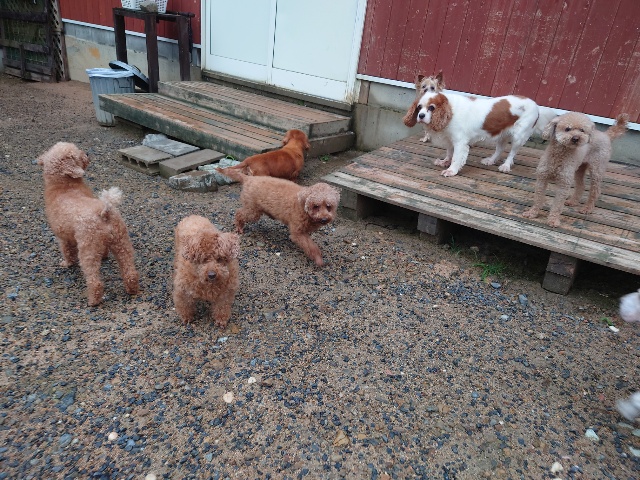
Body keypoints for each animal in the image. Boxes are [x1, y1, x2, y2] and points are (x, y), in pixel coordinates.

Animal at [38, 142, 139, 306]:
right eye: (77, 155)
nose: (86, 153)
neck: (64, 187)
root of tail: (104, 212)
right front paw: (104, 257)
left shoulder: (63, 237)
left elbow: (67, 252)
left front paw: (66, 263)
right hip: (122, 241)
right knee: (130, 271)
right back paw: (132, 289)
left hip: (88, 249)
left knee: (94, 280)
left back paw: (93, 301)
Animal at [404, 92, 540, 176]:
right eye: (419, 107)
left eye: (432, 108)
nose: (421, 115)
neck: (450, 110)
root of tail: (535, 105)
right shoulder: (450, 139)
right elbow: (449, 153)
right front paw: (445, 162)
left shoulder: (460, 142)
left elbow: (456, 157)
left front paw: (451, 171)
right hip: (502, 135)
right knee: (500, 149)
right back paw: (490, 160)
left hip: (519, 136)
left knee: (512, 153)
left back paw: (505, 166)